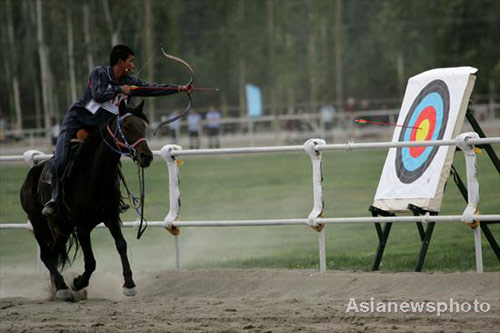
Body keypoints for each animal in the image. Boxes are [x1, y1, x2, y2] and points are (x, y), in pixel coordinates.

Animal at [20, 101, 152, 300]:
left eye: (143, 126)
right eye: (127, 126)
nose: (147, 156)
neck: (93, 175)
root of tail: (31, 175)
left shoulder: (111, 216)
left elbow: (121, 245)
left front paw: (129, 284)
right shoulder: (81, 224)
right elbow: (90, 261)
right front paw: (78, 283)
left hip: (62, 228)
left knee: (53, 254)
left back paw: (58, 288)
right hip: (38, 222)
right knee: (46, 255)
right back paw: (62, 288)